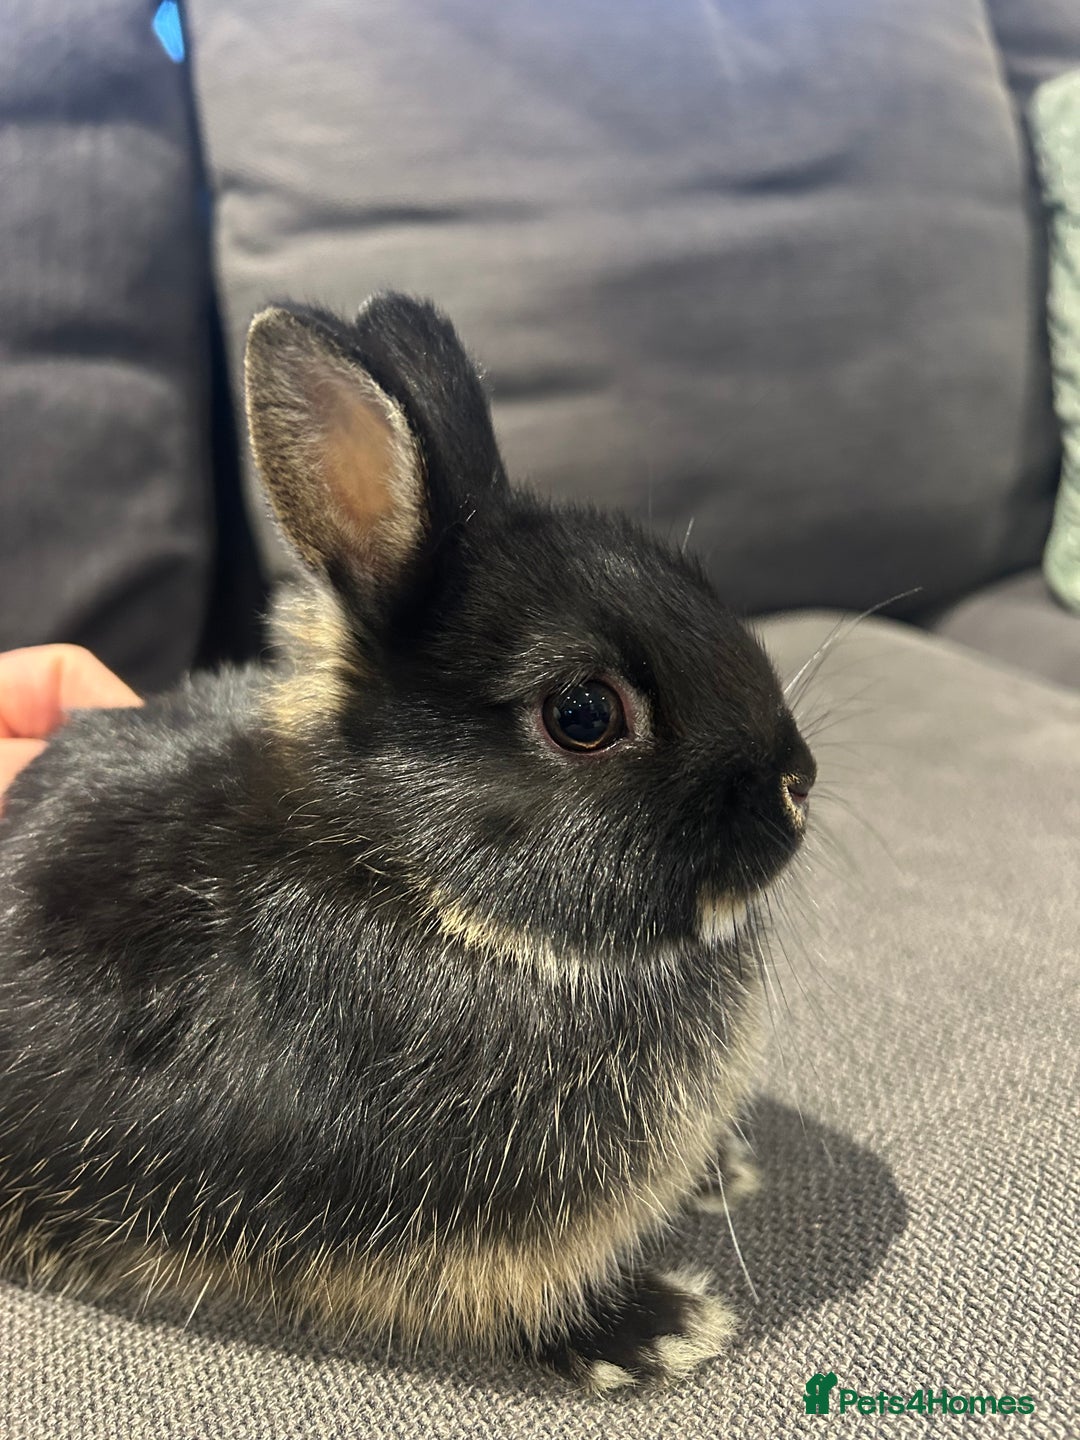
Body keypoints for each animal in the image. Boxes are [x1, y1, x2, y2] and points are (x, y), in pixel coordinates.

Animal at [0, 294, 815, 1394]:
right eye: (585, 713)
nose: (798, 787)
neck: (414, 880)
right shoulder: (461, 1232)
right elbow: (520, 1295)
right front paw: (655, 1329)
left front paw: (719, 1172)